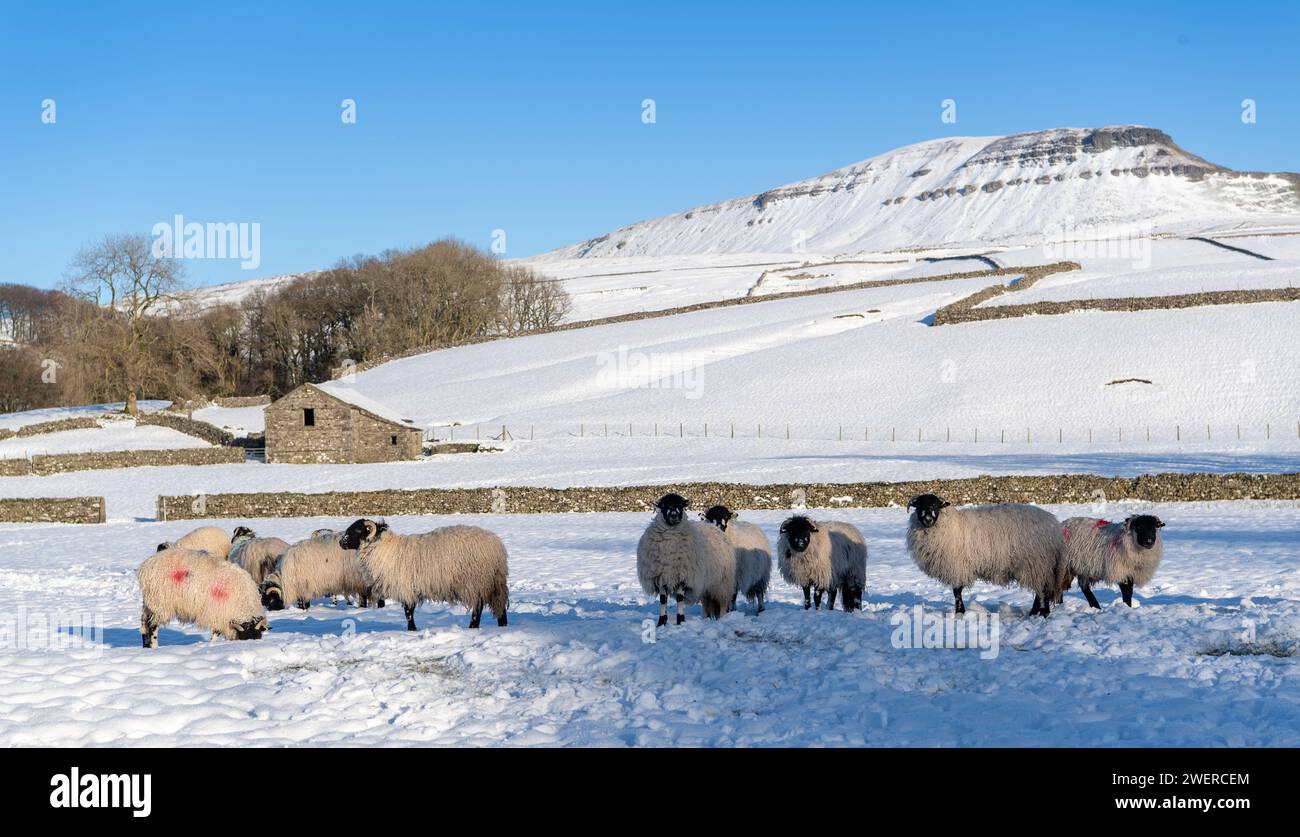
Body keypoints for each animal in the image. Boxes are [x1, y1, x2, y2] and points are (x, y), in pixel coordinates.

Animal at [138, 545, 267, 649]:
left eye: (257, 636)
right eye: (245, 636)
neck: (244, 603)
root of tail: (146, 567)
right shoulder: (219, 614)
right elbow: (216, 632)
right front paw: (211, 644)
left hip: (149, 603)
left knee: (144, 624)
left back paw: (146, 646)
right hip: (160, 604)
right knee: (152, 626)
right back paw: (155, 646)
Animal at [340, 519, 506, 631]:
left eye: (357, 530)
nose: (341, 543)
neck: (384, 549)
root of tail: (496, 544)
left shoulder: (406, 588)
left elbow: (408, 612)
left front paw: (412, 630)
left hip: (476, 583)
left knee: (478, 607)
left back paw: (473, 627)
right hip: (494, 582)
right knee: (500, 605)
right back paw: (502, 625)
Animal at [637, 493, 738, 623]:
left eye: (681, 505)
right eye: (664, 506)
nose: (673, 515)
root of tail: (717, 530)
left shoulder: (684, 575)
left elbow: (680, 598)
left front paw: (680, 620)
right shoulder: (662, 576)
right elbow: (663, 600)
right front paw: (662, 621)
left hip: (722, 581)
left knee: (722, 602)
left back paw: (723, 617)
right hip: (708, 584)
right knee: (708, 603)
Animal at [904, 493, 1066, 618]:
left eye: (936, 505)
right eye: (919, 506)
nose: (928, 520)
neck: (947, 525)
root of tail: (1054, 528)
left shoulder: (958, 567)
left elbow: (957, 592)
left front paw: (960, 613)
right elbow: (957, 592)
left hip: (1036, 563)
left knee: (1042, 590)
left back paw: (1043, 613)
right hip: (1038, 566)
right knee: (1040, 589)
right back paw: (1034, 612)